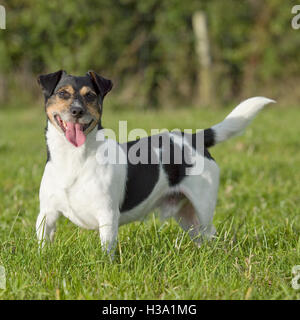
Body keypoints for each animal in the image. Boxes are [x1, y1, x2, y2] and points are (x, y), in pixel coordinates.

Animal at [35, 70, 274, 252]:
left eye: (91, 96)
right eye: (62, 93)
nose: (77, 111)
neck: (74, 158)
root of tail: (193, 137)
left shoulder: (107, 216)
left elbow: (106, 251)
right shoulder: (46, 215)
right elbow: (43, 246)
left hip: (203, 206)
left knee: (210, 233)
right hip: (186, 215)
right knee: (200, 237)